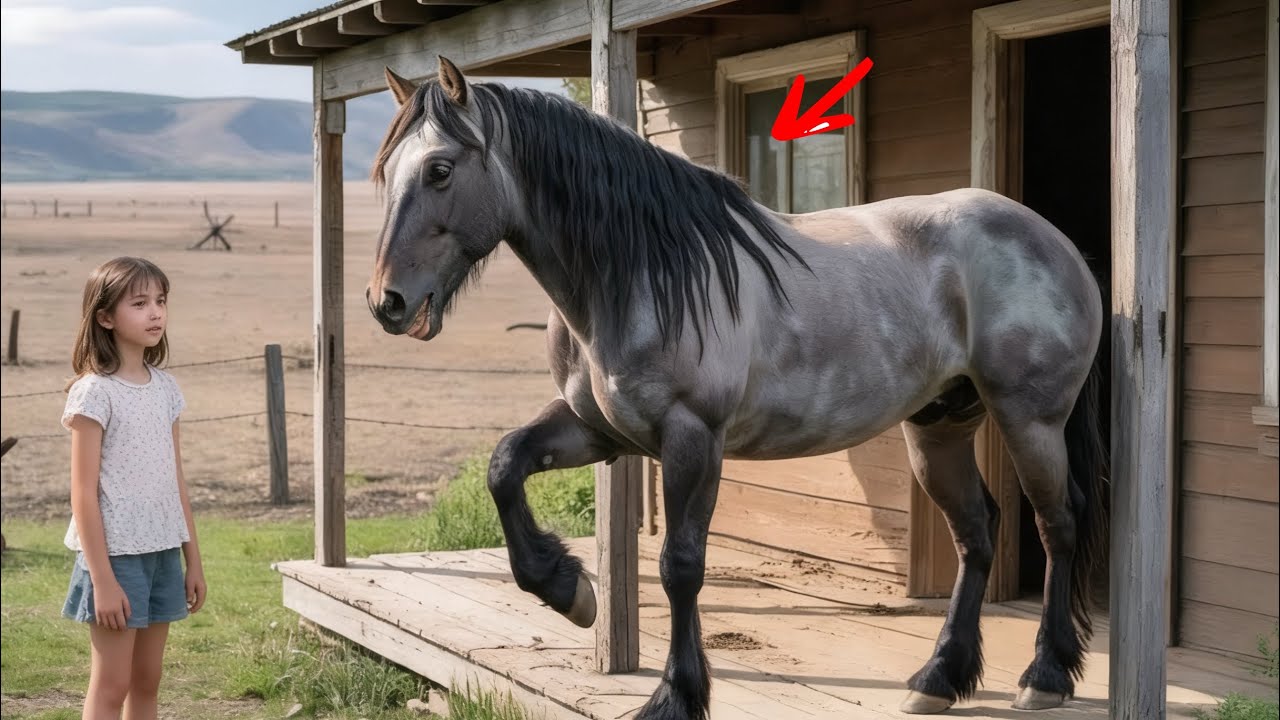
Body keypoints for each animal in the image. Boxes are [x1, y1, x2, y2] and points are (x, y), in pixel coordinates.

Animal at [365, 57, 1107, 719]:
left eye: (439, 169)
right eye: (386, 172)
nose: (386, 302)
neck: (641, 273)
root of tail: (1055, 241)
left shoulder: (693, 438)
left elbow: (680, 566)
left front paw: (675, 696)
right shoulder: (597, 431)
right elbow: (505, 466)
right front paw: (567, 590)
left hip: (1030, 420)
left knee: (1059, 522)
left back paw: (1044, 677)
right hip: (940, 426)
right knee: (978, 531)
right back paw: (939, 678)